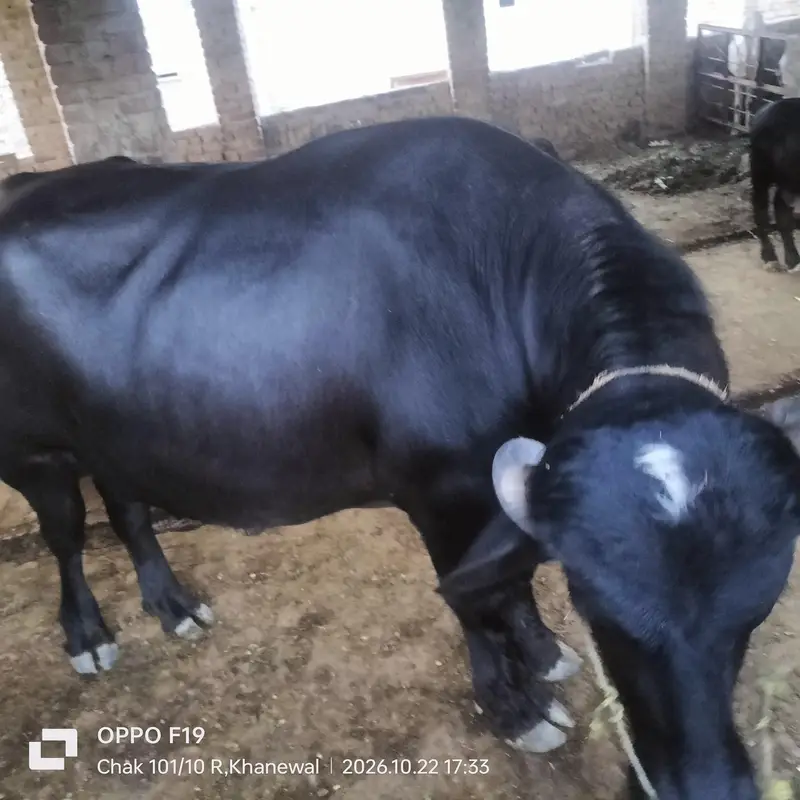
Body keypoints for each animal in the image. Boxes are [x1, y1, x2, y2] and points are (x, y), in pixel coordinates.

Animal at [0, 117, 798, 799]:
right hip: (33, 455)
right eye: (596, 603)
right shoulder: (441, 492)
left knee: (126, 503)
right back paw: (88, 635)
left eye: (758, 608)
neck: (503, 279)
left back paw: (172, 605)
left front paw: (543, 653)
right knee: (66, 535)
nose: (704, 785)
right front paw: (516, 707)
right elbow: (473, 598)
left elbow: (511, 582)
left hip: (114, 435)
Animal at [749, 96, 800, 272]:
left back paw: (793, 259)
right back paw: (770, 257)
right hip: (760, 170)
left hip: (787, 181)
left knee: (780, 206)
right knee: (760, 206)